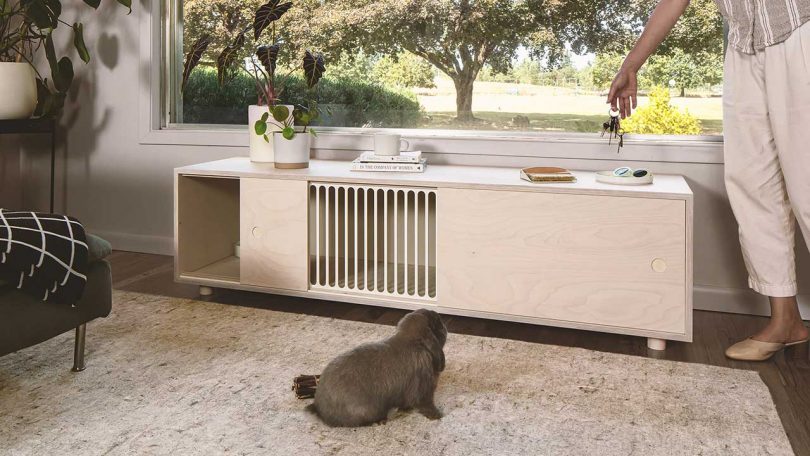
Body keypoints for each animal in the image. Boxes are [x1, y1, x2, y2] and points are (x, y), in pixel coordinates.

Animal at [306, 310, 448, 428]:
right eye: (438, 324)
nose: (445, 328)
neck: (411, 340)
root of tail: (319, 408)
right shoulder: (423, 389)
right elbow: (426, 404)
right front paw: (438, 416)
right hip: (368, 410)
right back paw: (381, 421)